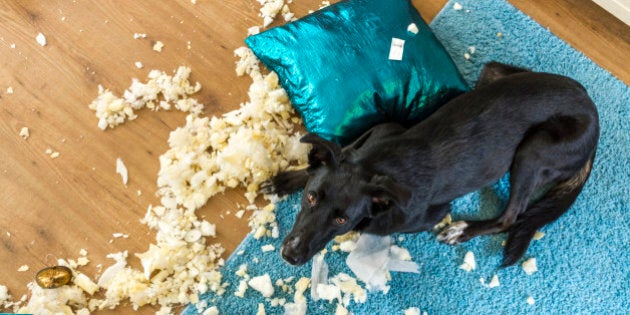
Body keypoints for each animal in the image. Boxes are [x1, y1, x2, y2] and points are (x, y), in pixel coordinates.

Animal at [262, 62, 604, 270]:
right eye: (310, 198)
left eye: (341, 220)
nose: (290, 255)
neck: (377, 166)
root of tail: (592, 110)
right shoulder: (380, 130)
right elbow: (339, 150)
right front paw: (284, 181)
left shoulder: (428, 215)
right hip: (493, 73)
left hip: (534, 149)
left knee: (512, 215)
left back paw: (463, 230)